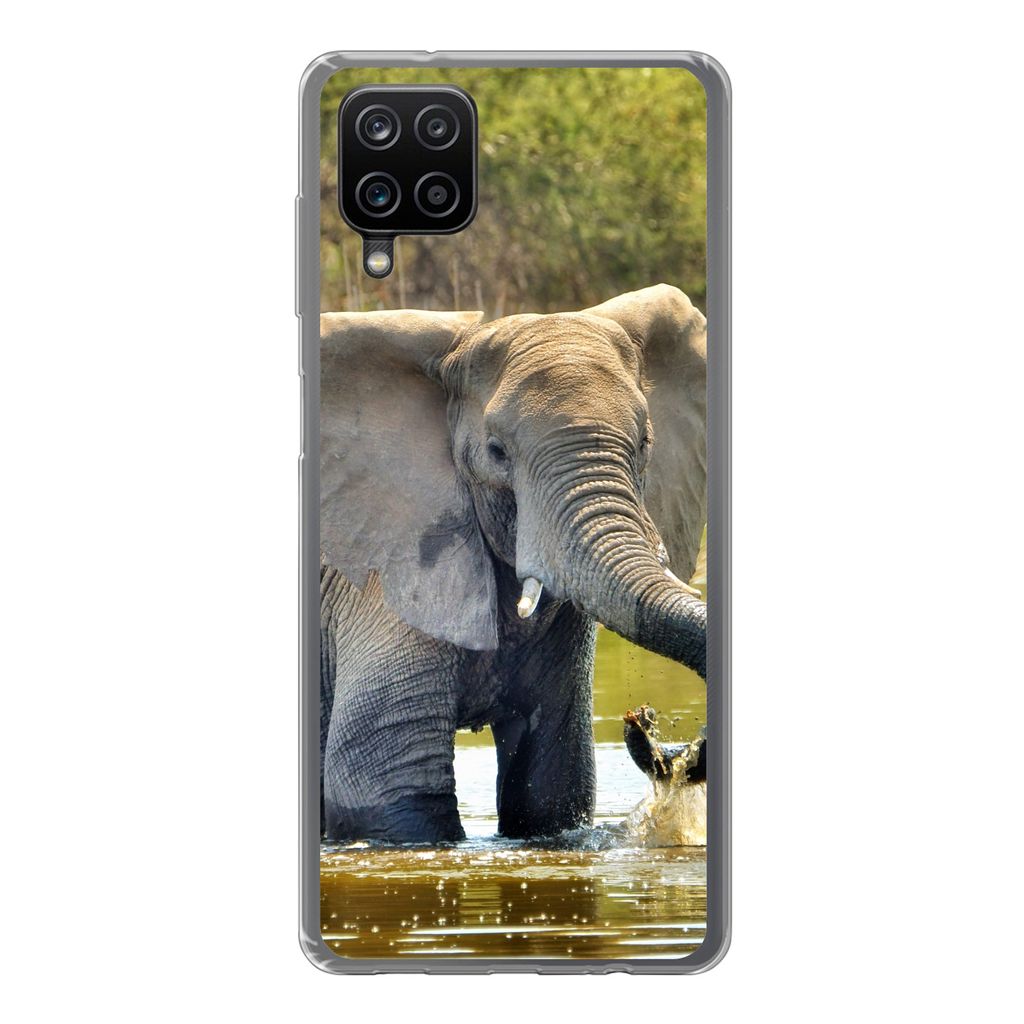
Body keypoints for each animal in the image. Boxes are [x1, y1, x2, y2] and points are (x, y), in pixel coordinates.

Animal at [319, 283, 708, 844]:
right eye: (496, 452)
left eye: (645, 443)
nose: (644, 721)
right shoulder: (382, 571)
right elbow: (386, 788)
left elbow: (551, 785)